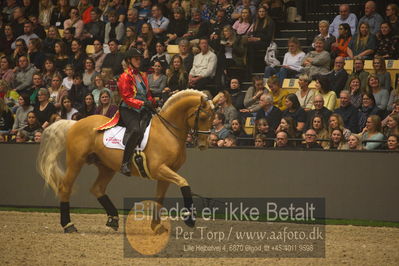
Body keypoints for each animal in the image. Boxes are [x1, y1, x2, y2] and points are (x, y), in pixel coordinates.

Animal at [37, 90, 216, 233]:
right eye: (204, 117)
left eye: (213, 118)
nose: (203, 145)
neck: (168, 131)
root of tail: (76, 123)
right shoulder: (159, 169)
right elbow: (184, 184)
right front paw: (189, 218)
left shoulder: (166, 173)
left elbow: (159, 198)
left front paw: (156, 226)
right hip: (76, 162)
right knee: (65, 188)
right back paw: (68, 225)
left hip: (107, 167)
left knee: (97, 189)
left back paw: (113, 219)